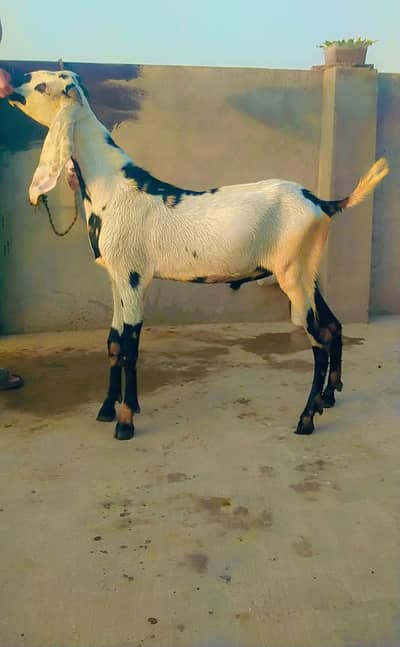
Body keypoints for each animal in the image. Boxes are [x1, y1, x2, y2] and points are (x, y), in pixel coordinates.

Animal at [2, 69, 389, 440]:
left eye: (41, 85)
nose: (14, 80)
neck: (114, 186)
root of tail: (323, 203)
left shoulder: (133, 278)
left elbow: (129, 346)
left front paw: (125, 422)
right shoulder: (115, 278)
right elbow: (113, 342)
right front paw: (108, 409)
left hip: (293, 275)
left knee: (319, 339)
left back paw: (307, 418)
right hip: (307, 274)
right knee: (333, 326)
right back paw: (329, 396)